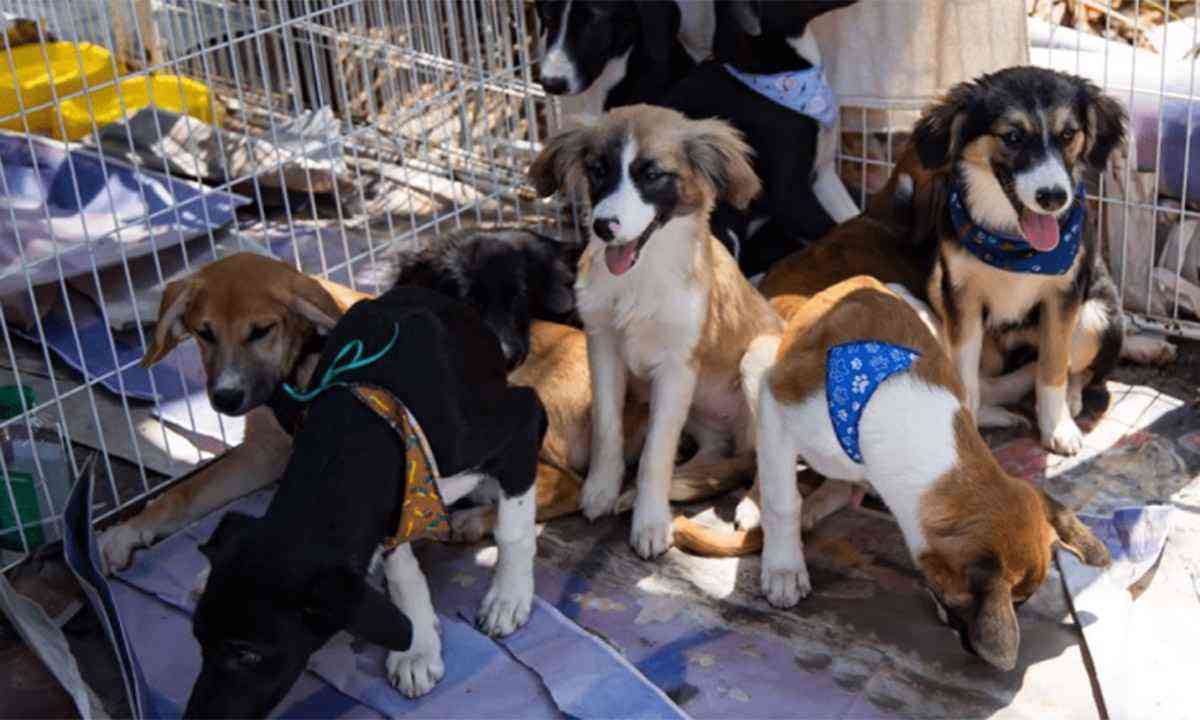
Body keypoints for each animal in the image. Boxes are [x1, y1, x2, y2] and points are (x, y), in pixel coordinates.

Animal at [186, 285, 544, 715]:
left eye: (248, 654)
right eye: (198, 637)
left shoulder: (521, 422)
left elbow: (513, 530)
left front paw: (508, 597)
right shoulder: (395, 502)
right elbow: (401, 568)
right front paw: (417, 646)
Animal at [530, 105, 782, 556]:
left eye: (652, 175)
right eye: (597, 170)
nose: (603, 226)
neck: (640, 277)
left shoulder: (676, 368)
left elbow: (654, 454)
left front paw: (650, 522)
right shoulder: (603, 348)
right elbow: (608, 429)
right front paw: (601, 491)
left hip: (757, 360)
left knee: (761, 459)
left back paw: (753, 507)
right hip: (700, 418)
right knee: (716, 456)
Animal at [744, 278, 1108, 672]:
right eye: (1016, 603)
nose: (971, 649)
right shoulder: (776, 401)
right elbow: (781, 501)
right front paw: (783, 567)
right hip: (757, 362)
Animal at [912, 64, 1128, 453]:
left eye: (1069, 134)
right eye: (1012, 137)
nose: (1053, 197)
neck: (1014, 244)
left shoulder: (1063, 296)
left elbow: (1053, 368)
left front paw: (1057, 426)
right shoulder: (961, 294)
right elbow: (965, 374)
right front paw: (968, 423)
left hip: (1097, 317)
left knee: (1082, 372)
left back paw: (1071, 401)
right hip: (937, 282)